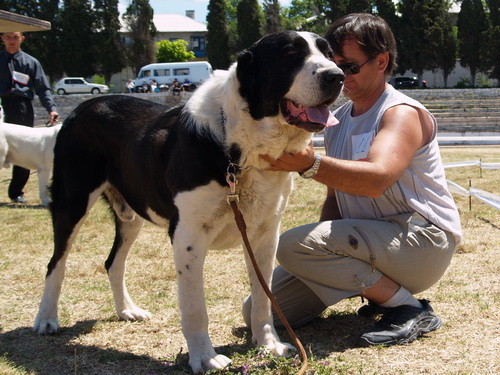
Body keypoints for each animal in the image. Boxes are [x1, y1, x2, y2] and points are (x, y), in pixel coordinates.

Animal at [34, 31, 344, 374]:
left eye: (329, 54)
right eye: (291, 55)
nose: (336, 76)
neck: (238, 147)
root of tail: (81, 107)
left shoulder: (265, 234)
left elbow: (264, 297)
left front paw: (269, 345)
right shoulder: (189, 237)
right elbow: (196, 307)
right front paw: (204, 358)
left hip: (131, 216)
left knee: (113, 261)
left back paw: (127, 310)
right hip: (72, 203)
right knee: (56, 262)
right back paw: (47, 319)